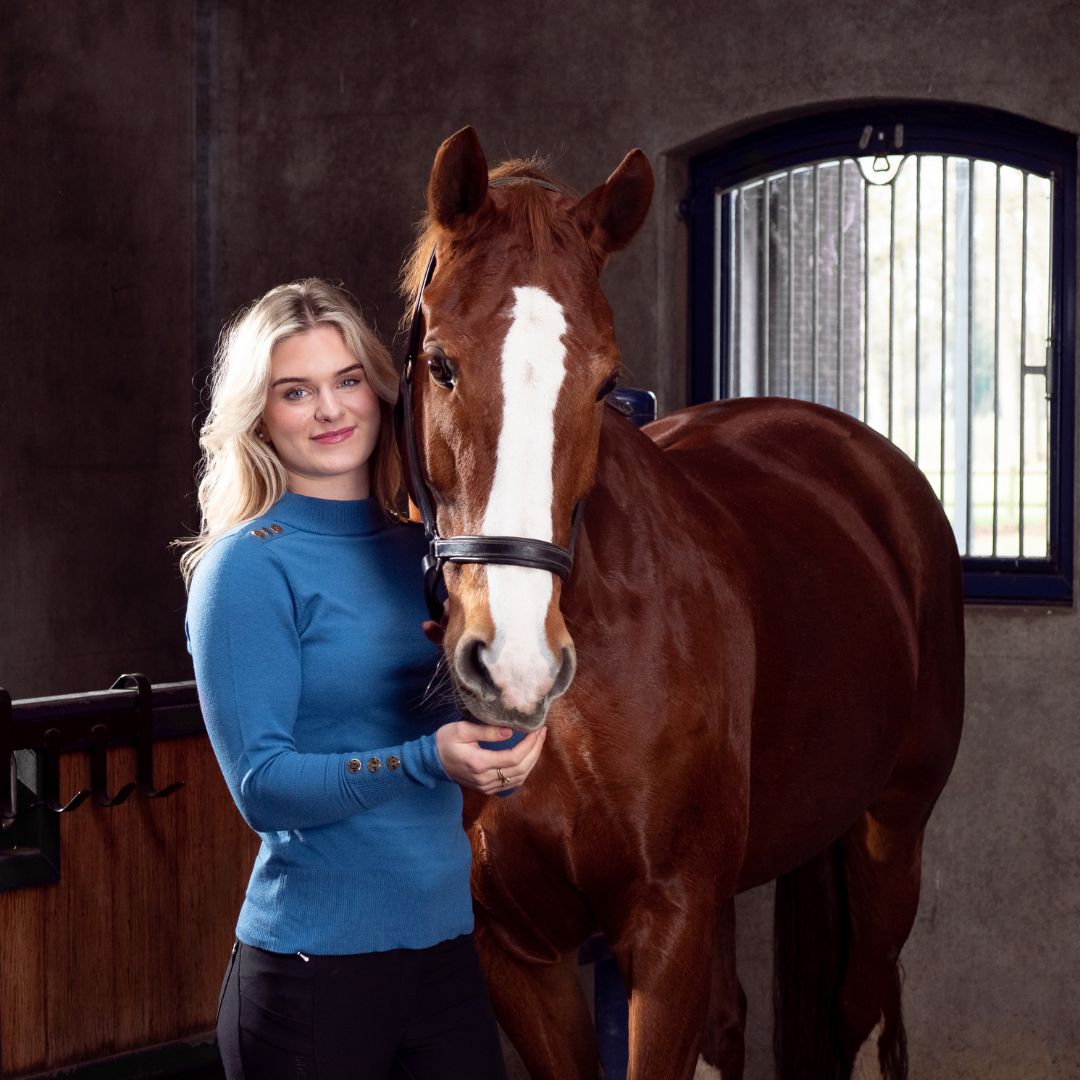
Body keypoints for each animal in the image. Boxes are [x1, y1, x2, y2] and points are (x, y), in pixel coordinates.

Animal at [397, 126, 963, 1080]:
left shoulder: (669, 929)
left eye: (603, 381)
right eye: (440, 362)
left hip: (892, 832)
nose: (516, 665)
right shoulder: (518, 949)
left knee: (858, 1006)